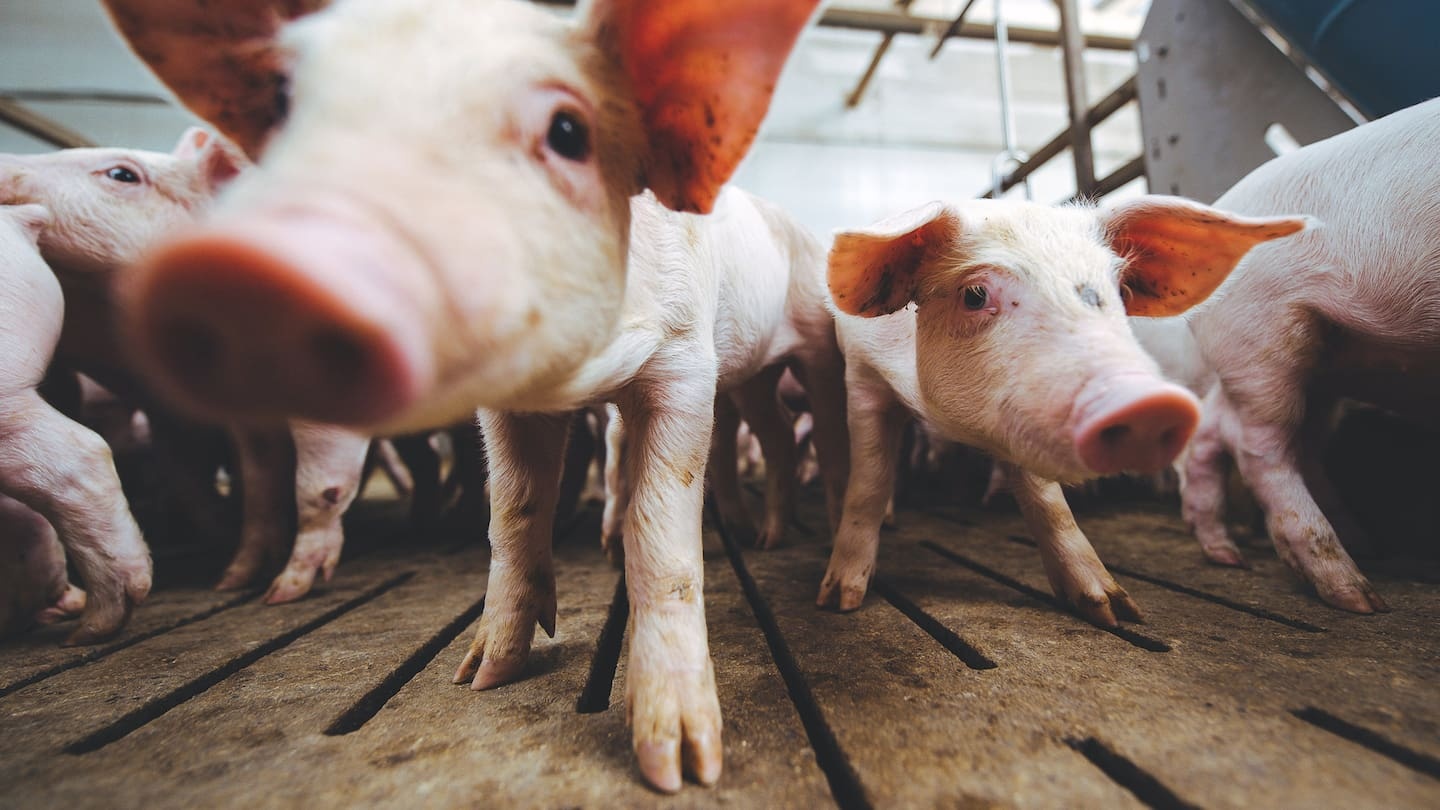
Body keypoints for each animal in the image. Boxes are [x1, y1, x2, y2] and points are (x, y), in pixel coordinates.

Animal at [98, 0, 819, 790]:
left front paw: (682, 764)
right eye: (285, 103)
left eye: (568, 131)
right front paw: (478, 676)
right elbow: (513, 513)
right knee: (768, 435)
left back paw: (780, 547)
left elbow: (661, 531)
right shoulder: (507, 404)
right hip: (752, 379)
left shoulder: (688, 361)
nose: (247, 272)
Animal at [819, 196, 1307, 622]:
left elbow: (1049, 503)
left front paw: (1115, 611)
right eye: (974, 294)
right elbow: (869, 481)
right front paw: (839, 601)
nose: (1148, 403)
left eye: (1119, 290)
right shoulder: (861, 374)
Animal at [1175, 97, 1440, 613]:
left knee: (1233, 432)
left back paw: (1231, 556)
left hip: (1317, 365)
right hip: (1263, 336)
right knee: (1260, 446)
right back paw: (1358, 596)